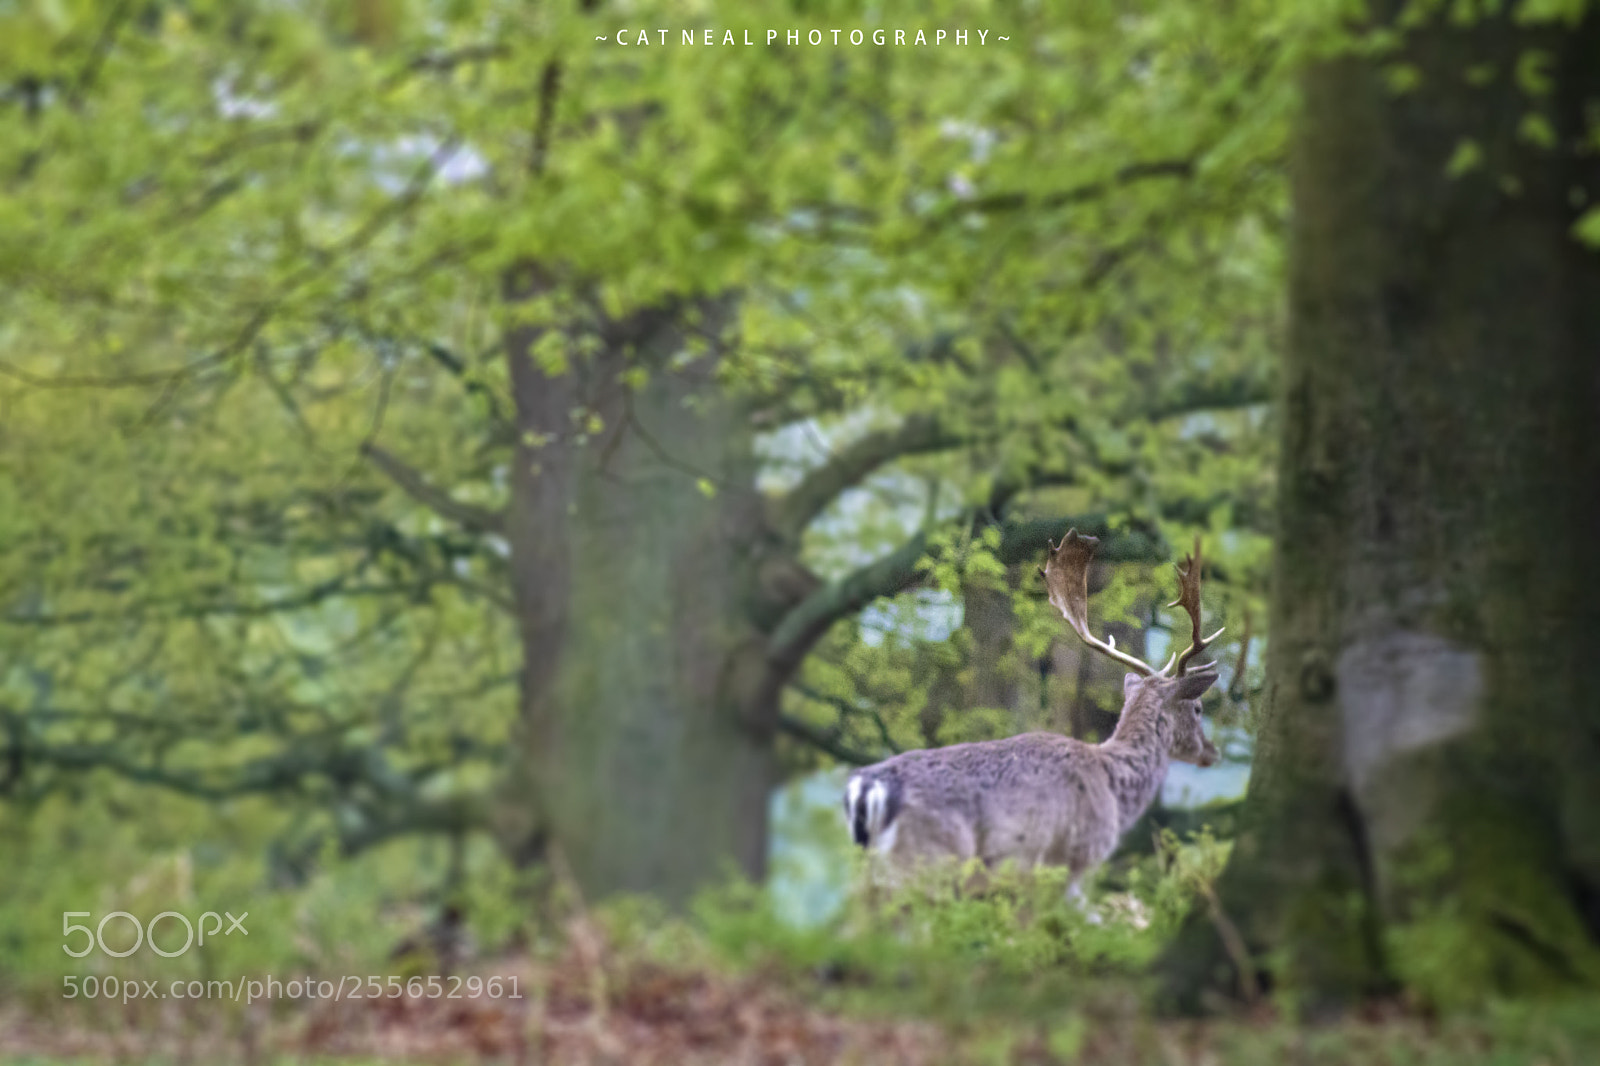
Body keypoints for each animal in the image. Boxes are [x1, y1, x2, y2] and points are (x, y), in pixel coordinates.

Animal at [842, 529, 1225, 902]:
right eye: (1198, 707)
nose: (1212, 751)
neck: (1113, 786)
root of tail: (866, 789)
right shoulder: (1064, 863)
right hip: (929, 859)